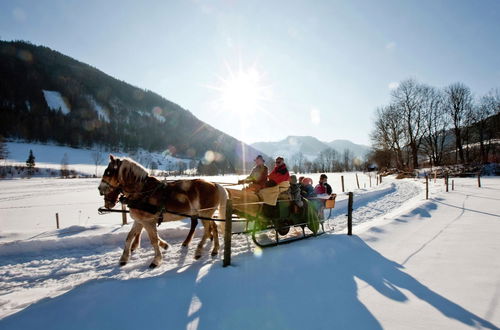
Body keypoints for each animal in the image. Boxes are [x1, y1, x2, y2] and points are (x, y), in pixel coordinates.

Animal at [97, 155, 227, 268]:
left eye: (108, 172)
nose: (100, 189)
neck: (143, 192)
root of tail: (215, 184)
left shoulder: (148, 221)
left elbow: (153, 240)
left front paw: (156, 260)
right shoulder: (139, 221)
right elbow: (129, 237)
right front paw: (124, 259)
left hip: (205, 213)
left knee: (207, 230)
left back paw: (199, 251)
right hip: (206, 214)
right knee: (213, 228)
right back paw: (214, 249)